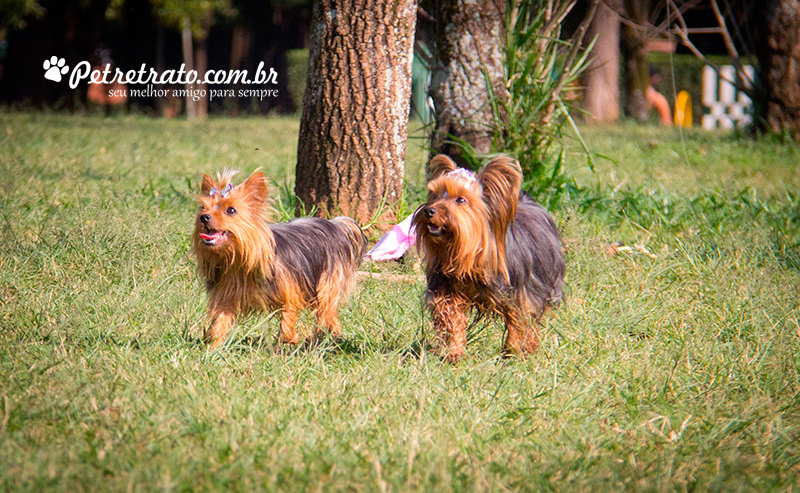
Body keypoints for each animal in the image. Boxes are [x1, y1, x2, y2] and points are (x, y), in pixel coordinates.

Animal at [192, 171, 368, 348]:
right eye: (203, 208)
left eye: (231, 210)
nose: (204, 217)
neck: (239, 260)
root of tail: (335, 224)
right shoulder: (226, 295)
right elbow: (220, 321)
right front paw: (213, 346)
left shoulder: (290, 289)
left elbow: (288, 315)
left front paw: (290, 338)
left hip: (328, 280)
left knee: (326, 310)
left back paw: (323, 336)